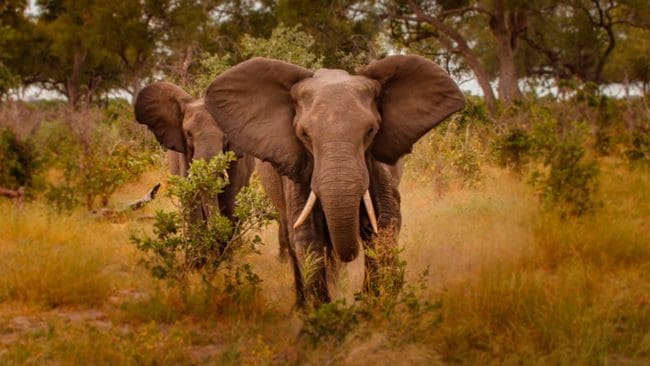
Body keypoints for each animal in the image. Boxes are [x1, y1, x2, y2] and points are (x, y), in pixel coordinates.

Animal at [205, 54, 464, 306]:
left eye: (371, 131)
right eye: (304, 135)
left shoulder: (377, 167)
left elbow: (384, 226)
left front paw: (372, 309)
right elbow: (308, 236)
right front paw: (324, 313)